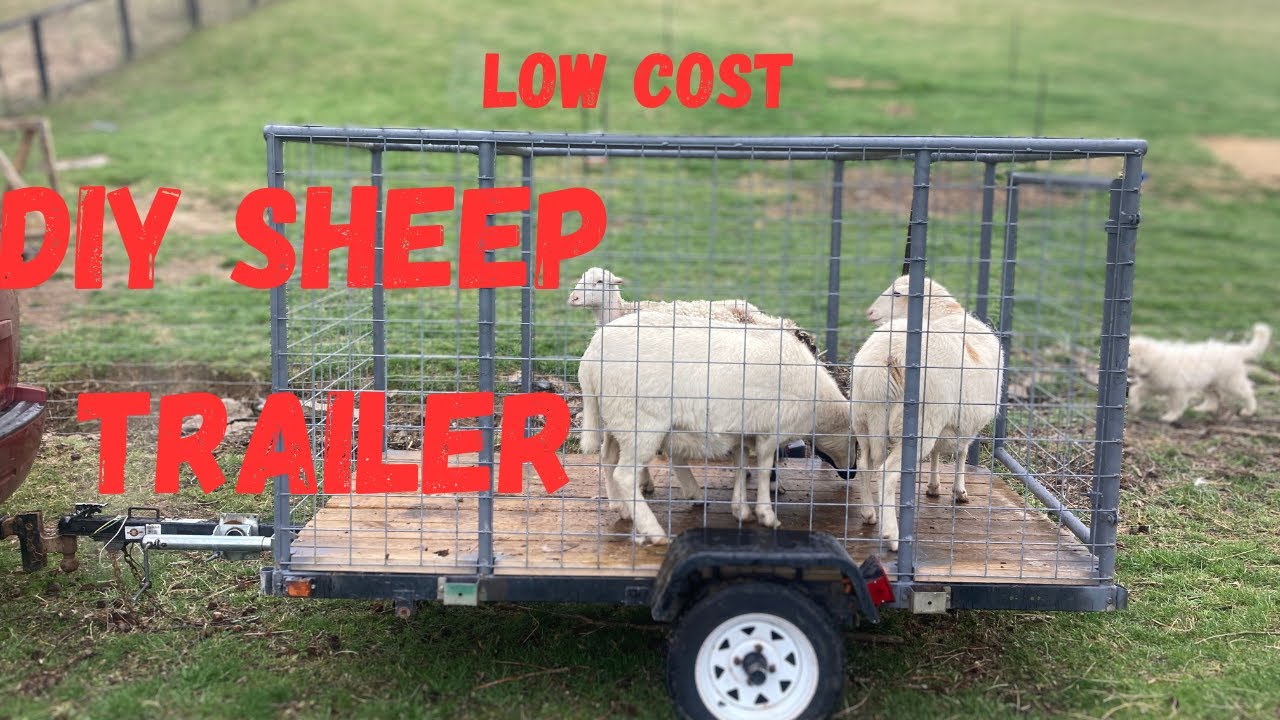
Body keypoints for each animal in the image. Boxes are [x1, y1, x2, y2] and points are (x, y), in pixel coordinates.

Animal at [578, 310, 856, 546]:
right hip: (641, 422)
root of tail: (589, 357)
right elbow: (764, 469)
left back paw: (622, 508)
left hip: (616, 418)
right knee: (625, 475)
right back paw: (654, 531)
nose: (852, 473)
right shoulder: (770, 431)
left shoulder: (745, 431)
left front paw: (741, 509)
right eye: (857, 442)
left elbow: (741, 465)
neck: (819, 405)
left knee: (608, 458)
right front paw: (766, 514)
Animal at [850, 275, 1005, 551]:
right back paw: (892, 535)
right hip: (918, 424)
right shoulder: (964, 423)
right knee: (886, 473)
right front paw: (959, 491)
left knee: (865, 464)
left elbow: (938, 452)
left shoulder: (946, 421)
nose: (869, 313)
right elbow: (961, 453)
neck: (947, 315)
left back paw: (869, 513)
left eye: (897, 293)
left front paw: (934, 485)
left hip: (864, 418)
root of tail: (886, 359)